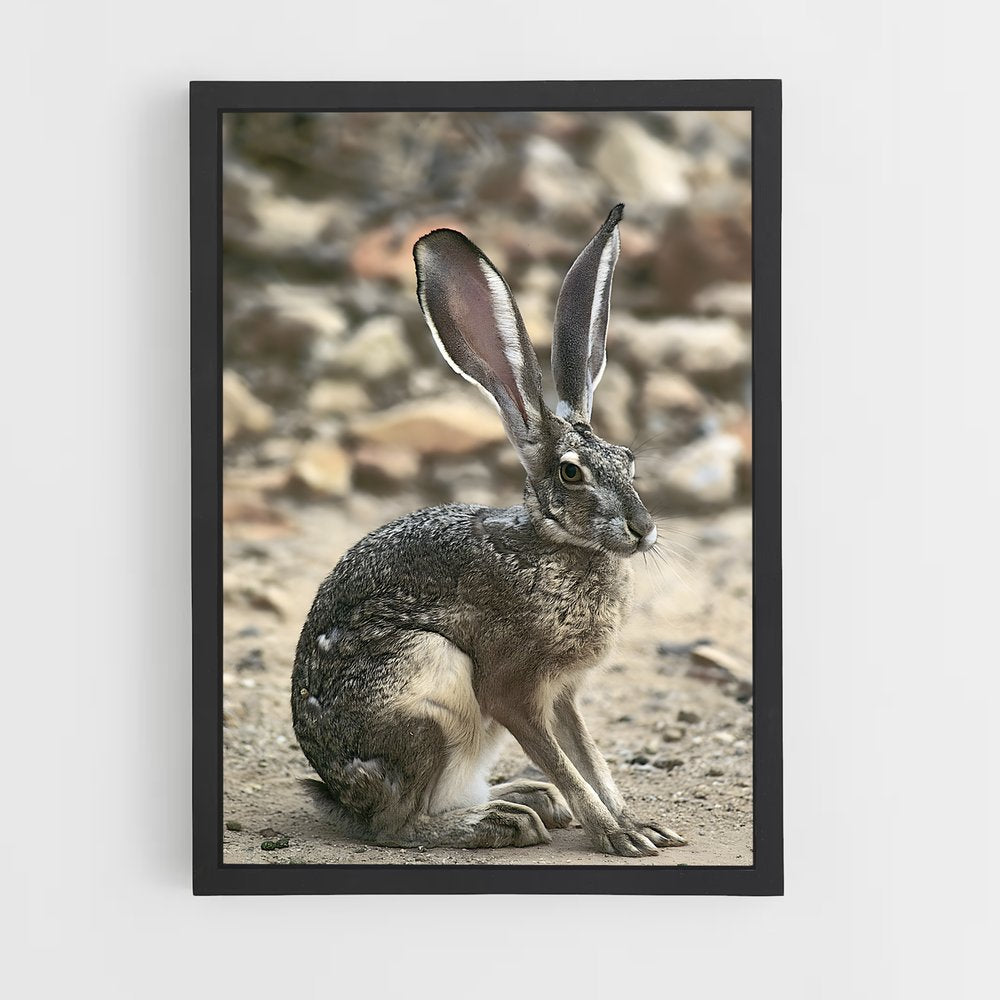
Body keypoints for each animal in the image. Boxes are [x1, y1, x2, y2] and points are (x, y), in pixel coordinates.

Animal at [291, 205, 686, 857]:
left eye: (627, 459)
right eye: (571, 473)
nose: (642, 529)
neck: (559, 545)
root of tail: (339, 795)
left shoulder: (563, 695)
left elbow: (590, 759)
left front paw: (636, 824)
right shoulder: (513, 689)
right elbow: (568, 765)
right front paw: (617, 835)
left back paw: (526, 801)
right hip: (426, 687)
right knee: (398, 824)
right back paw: (500, 822)